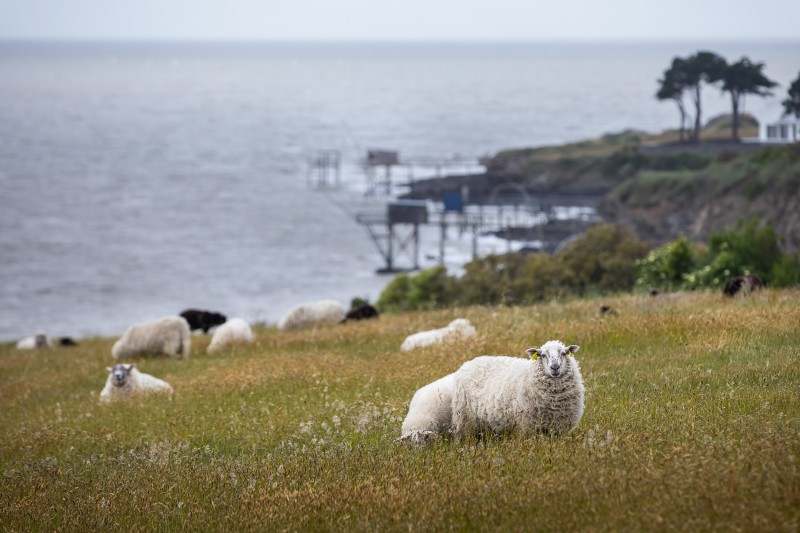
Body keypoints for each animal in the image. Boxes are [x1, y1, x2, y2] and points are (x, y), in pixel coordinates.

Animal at [454, 340, 584, 436]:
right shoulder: (528, 426)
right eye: (542, 355)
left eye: (564, 353)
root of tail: (468, 363)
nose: (555, 367)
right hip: (465, 422)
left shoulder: (560, 428)